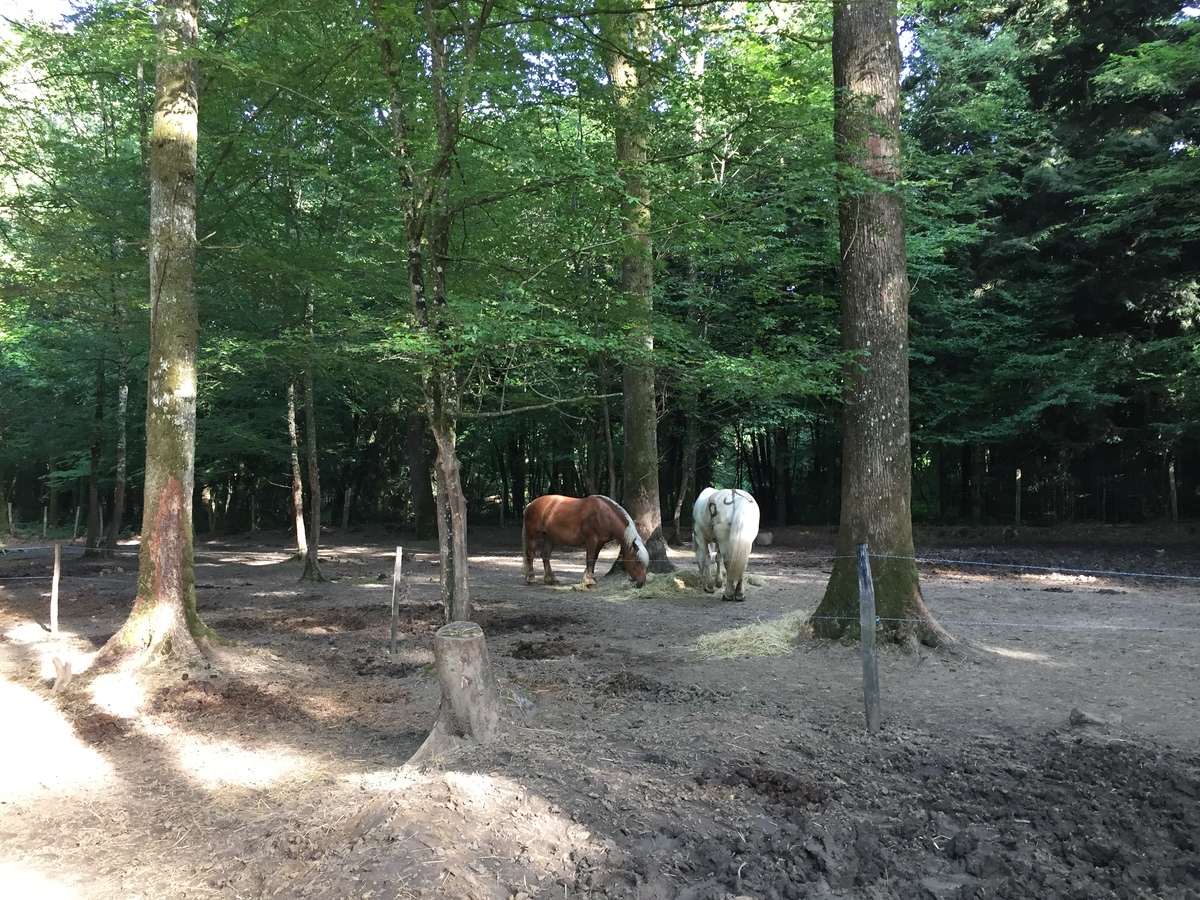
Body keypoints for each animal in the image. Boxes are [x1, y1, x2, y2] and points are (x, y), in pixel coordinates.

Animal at [520, 494, 648, 592]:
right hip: (533, 535)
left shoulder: (600, 542)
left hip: (549, 537)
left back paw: (551, 579)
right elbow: (590, 558)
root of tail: (531, 504)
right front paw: (590, 582)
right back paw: (531, 579)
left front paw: (589, 578)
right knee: (531, 555)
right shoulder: (591, 539)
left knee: (545, 555)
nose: (642, 583)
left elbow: (594, 559)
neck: (604, 514)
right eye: (637, 561)